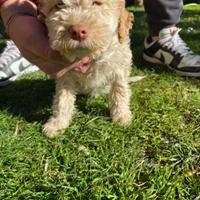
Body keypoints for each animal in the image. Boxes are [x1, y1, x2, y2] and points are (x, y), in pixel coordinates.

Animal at [37, 0, 134, 138]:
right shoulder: (64, 73)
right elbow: (62, 98)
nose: (77, 31)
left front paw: (121, 116)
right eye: (60, 5)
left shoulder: (120, 64)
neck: (89, 55)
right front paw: (57, 123)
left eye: (97, 3)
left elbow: (120, 90)